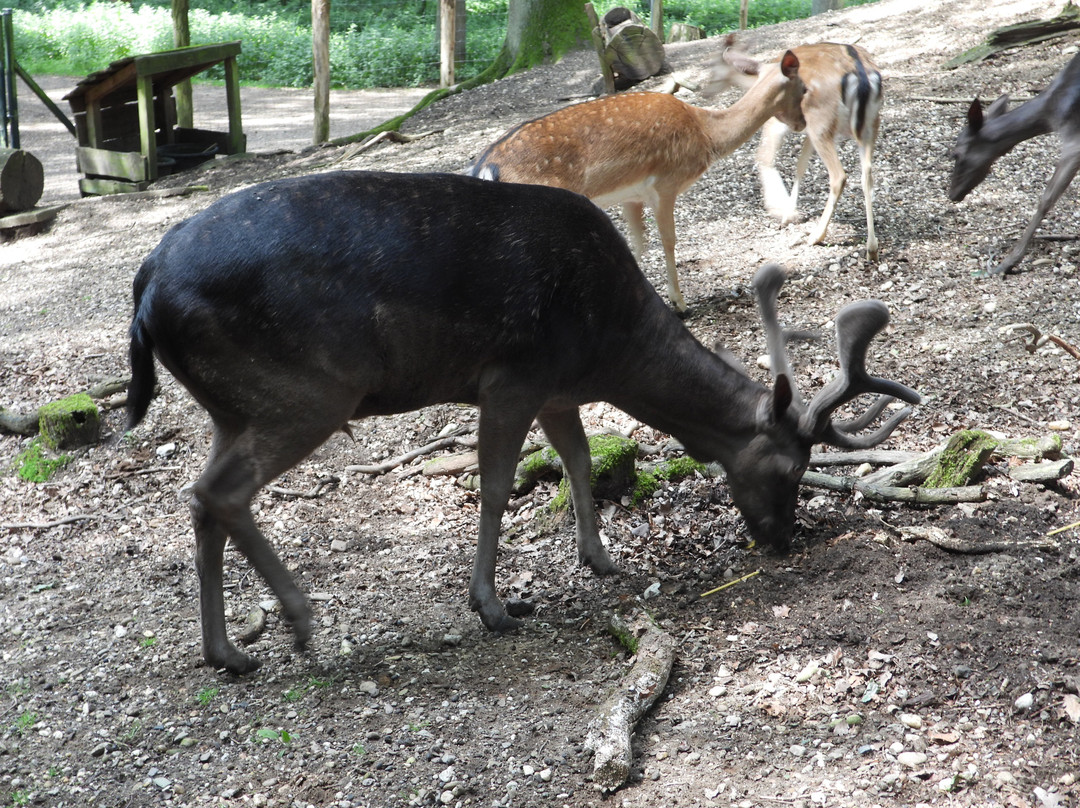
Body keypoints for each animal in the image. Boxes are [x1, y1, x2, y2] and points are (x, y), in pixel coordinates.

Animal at [126, 170, 920, 674]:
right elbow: (499, 485)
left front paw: (601, 558)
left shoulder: (558, 389)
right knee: (219, 492)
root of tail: (146, 287)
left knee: (201, 497)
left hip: (232, 404)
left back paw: (226, 651)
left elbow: (577, 460)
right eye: (789, 468)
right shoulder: (513, 375)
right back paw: (297, 619)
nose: (783, 540)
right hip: (306, 391)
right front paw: (492, 605)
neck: (610, 347)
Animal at [468, 49, 807, 315]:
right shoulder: (666, 183)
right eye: (803, 88)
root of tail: (487, 166)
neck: (707, 133)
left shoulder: (631, 195)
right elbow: (668, 240)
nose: (802, 124)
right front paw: (679, 303)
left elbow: (637, 244)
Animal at [946, 52, 1080, 278]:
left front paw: (1007, 263)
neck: (1051, 113)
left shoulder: (1074, 141)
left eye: (956, 154)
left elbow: (1046, 199)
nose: (952, 194)